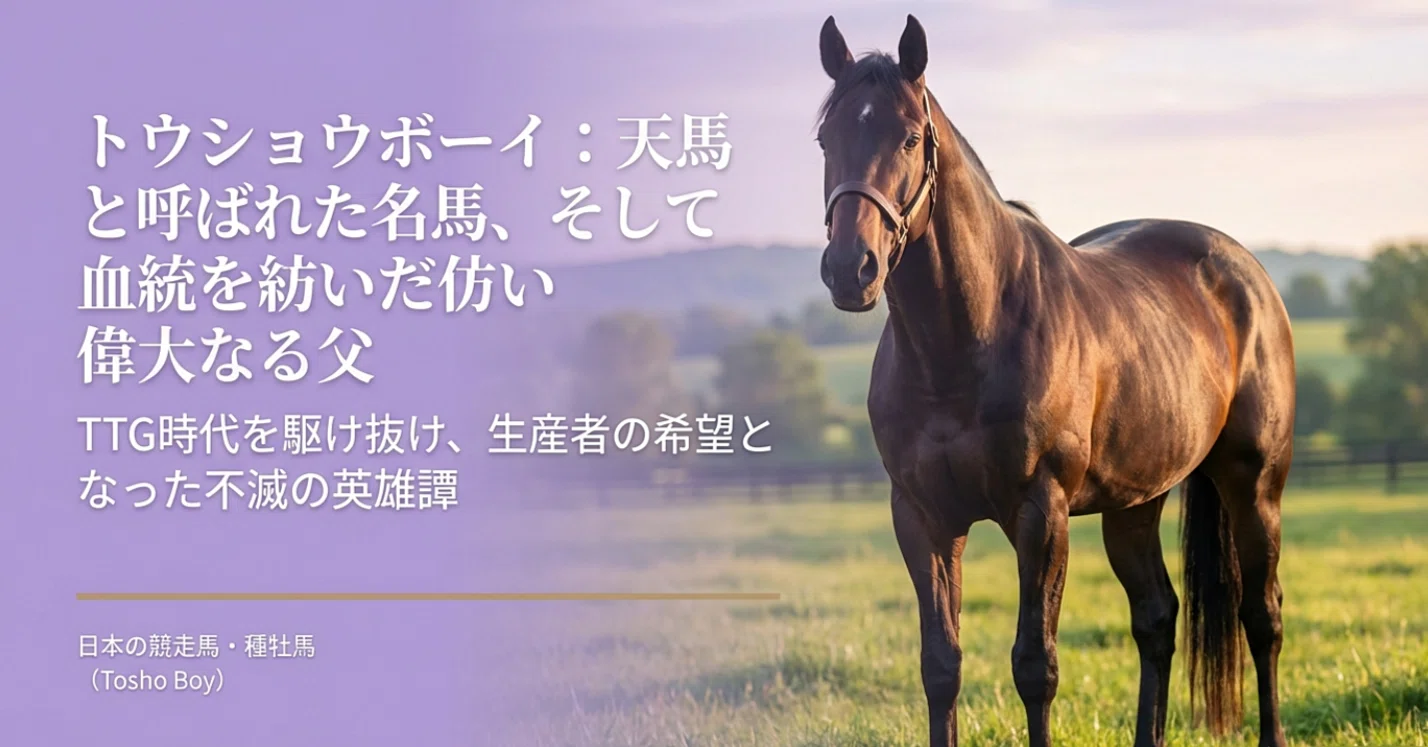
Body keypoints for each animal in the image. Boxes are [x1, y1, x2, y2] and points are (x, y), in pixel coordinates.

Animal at [815, 15, 1295, 747]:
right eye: (825, 139)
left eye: (909, 137)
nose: (851, 268)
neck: (965, 342)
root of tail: (1244, 270)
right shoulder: (922, 517)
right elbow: (941, 665)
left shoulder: (1041, 513)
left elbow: (1034, 666)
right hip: (1135, 503)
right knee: (1157, 617)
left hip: (1254, 484)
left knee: (1260, 618)